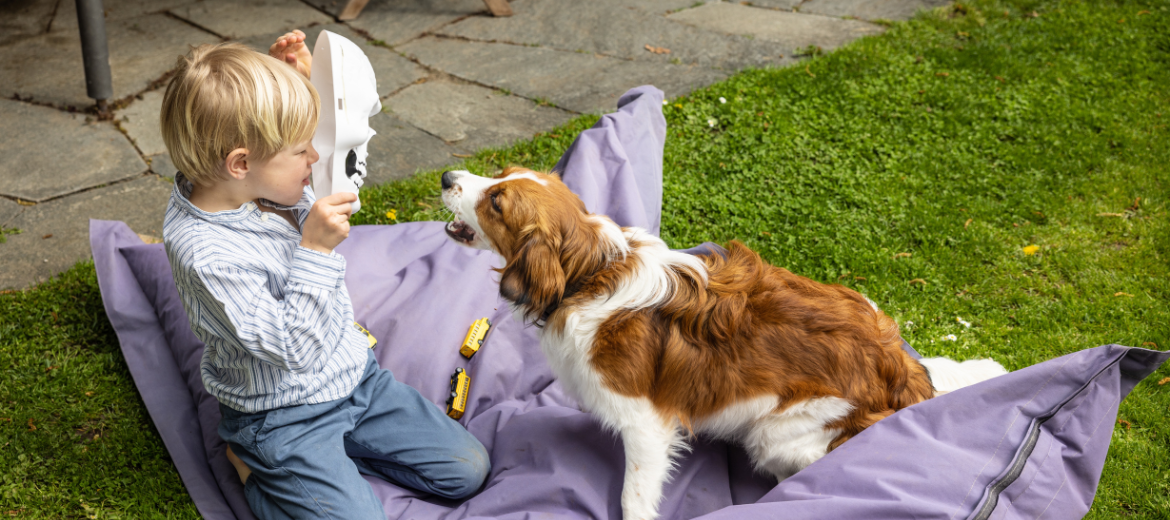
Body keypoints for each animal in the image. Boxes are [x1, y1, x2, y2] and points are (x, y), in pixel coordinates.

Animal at [439, 167, 1006, 520]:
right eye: (501, 174)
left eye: (495, 201)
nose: (446, 177)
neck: (592, 274)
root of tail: (898, 370)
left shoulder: (647, 427)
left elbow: (633, 498)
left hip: (775, 435)